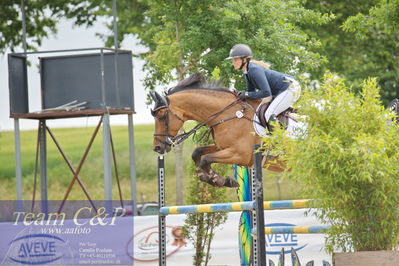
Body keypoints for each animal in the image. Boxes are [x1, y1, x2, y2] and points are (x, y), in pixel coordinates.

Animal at [149, 72, 284, 187]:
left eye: (161, 115)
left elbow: (206, 159)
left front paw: (219, 180)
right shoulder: (222, 147)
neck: (227, 114)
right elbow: (197, 152)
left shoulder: (241, 155)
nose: (157, 147)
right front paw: (211, 178)